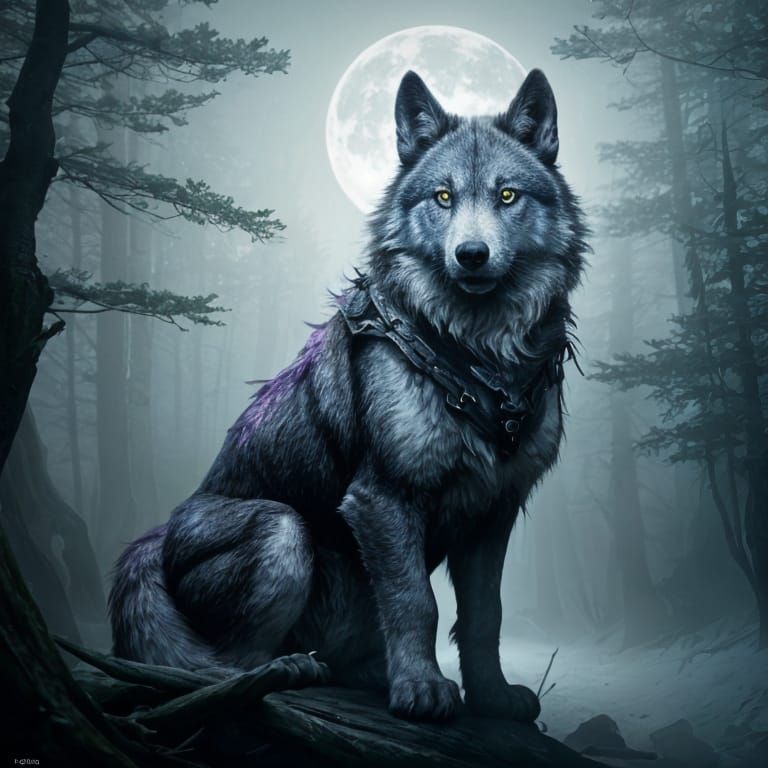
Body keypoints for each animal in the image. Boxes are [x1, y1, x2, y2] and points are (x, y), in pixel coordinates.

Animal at [109, 68, 587, 723]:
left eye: (508, 196)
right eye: (443, 197)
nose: (471, 255)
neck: (478, 357)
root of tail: (155, 542)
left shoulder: (494, 512)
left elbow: (482, 616)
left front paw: (490, 696)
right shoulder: (381, 499)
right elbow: (417, 604)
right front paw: (422, 690)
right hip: (284, 531)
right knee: (217, 666)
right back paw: (285, 670)